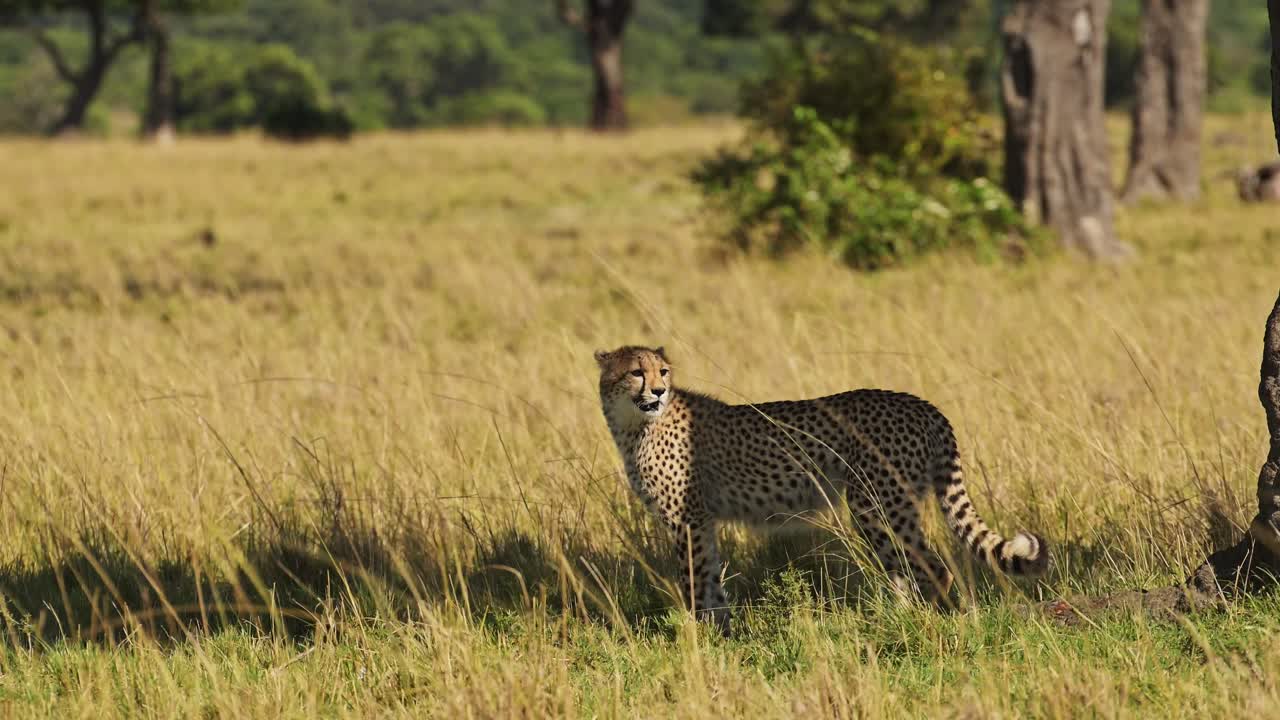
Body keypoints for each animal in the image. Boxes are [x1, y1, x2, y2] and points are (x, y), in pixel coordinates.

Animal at [594, 344, 1048, 629]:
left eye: (662, 371)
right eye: (636, 372)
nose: (658, 390)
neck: (637, 424)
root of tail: (923, 403)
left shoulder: (686, 520)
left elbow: (695, 580)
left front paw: (696, 637)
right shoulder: (702, 521)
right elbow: (711, 581)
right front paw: (722, 634)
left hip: (876, 504)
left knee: (932, 567)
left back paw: (925, 626)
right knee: (902, 570)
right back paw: (894, 621)